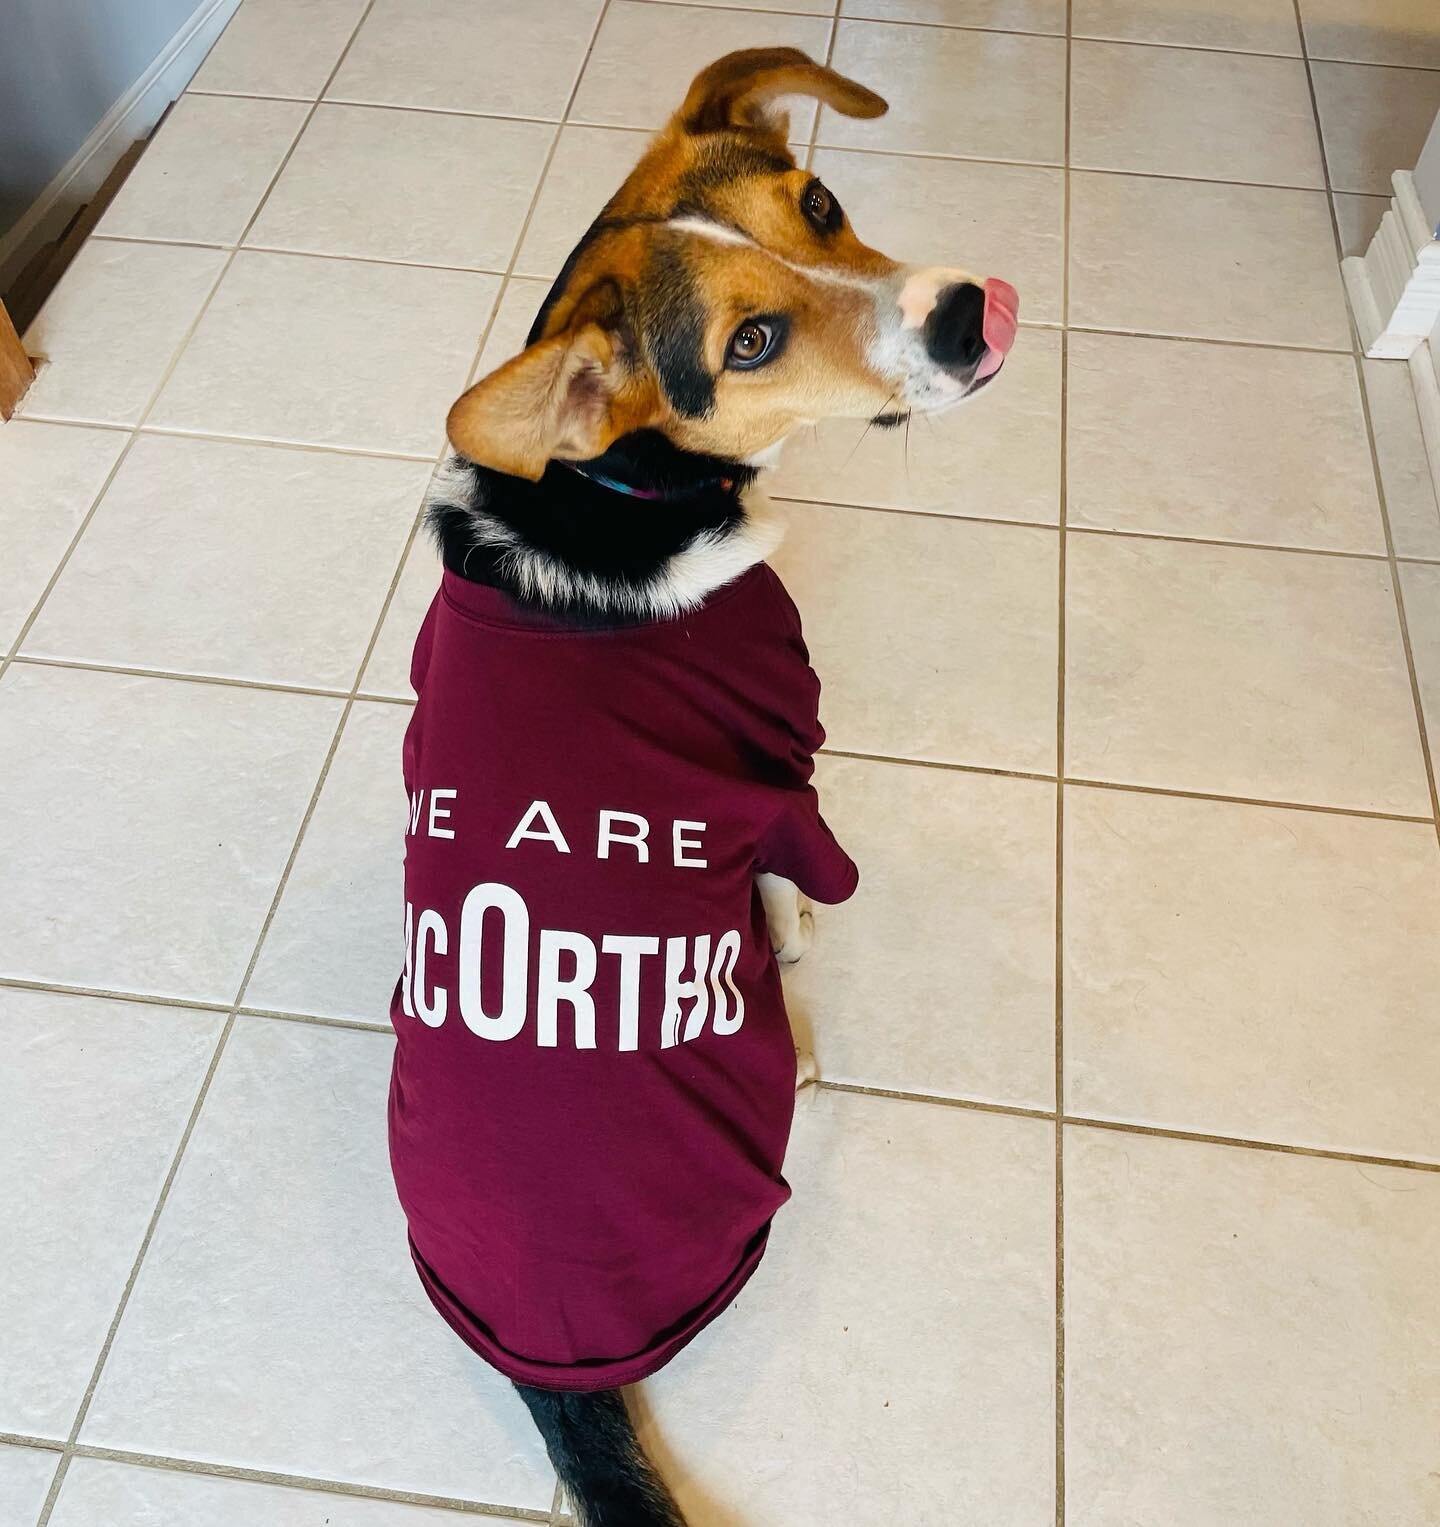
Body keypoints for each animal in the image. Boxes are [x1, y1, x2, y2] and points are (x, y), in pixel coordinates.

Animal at [387, 47, 1020, 1527]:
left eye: (823, 202)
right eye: (749, 346)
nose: (966, 312)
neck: (607, 491)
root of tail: (554, 1367)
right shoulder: (784, 757)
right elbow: (796, 870)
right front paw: (791, 935)